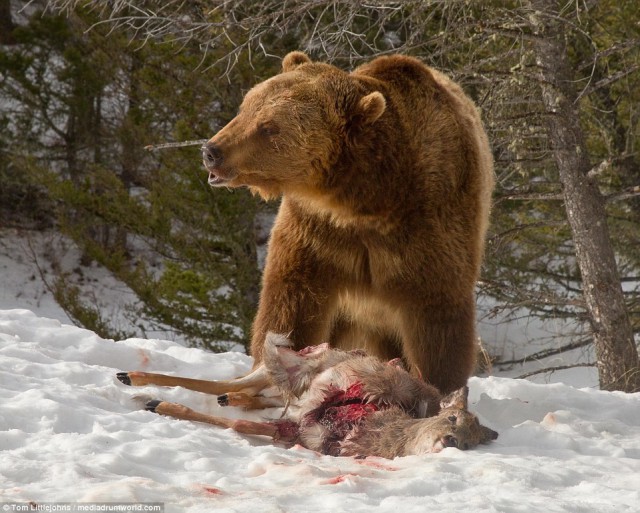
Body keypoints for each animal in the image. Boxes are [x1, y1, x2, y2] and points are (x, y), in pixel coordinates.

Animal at [202, 52, 492, 394]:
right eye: (246, 107)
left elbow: (439, 314)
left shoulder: (429, 226)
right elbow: (290, 299)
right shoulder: (315, 232)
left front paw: (440, 386)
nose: (212, 150)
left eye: (269, 127)